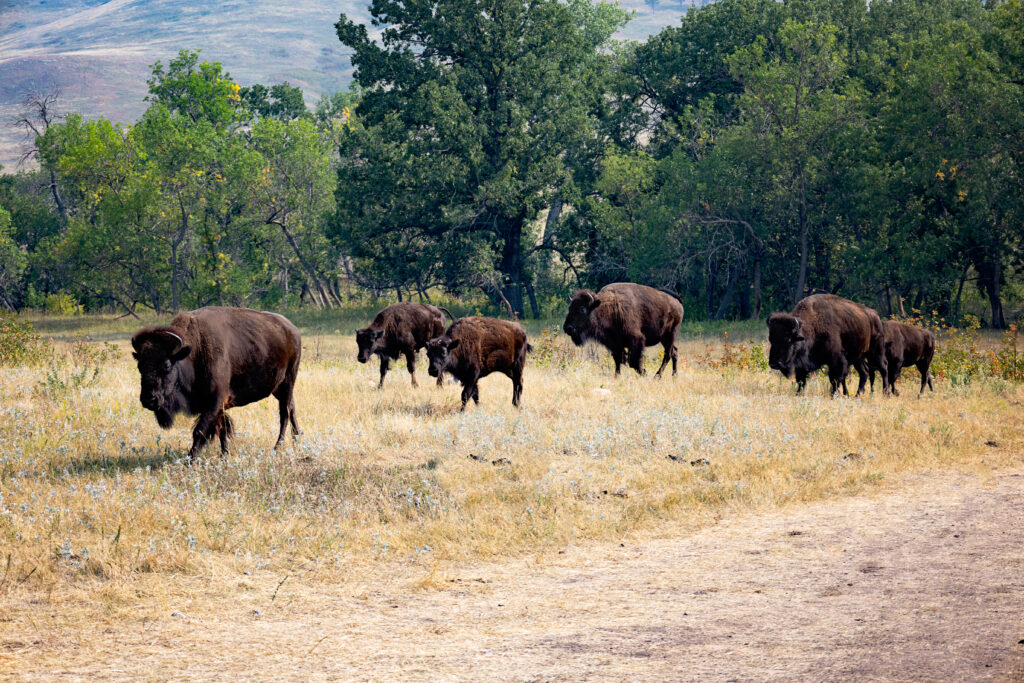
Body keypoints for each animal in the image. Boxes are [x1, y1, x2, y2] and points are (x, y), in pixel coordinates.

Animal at [130, 307, 301, 462]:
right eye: (140, 366)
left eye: (166, 365)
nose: (148, 400)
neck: (195, 351)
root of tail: (292, 330)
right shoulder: (217, 406)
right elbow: (222, 430)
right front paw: (225, 455)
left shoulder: (215, 402)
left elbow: (200, 431)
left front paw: (190, 461)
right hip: (278, 389)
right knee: (292, 407)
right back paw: (297, 440)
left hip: (288, 382)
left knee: (284, 414)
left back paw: (277, 448)